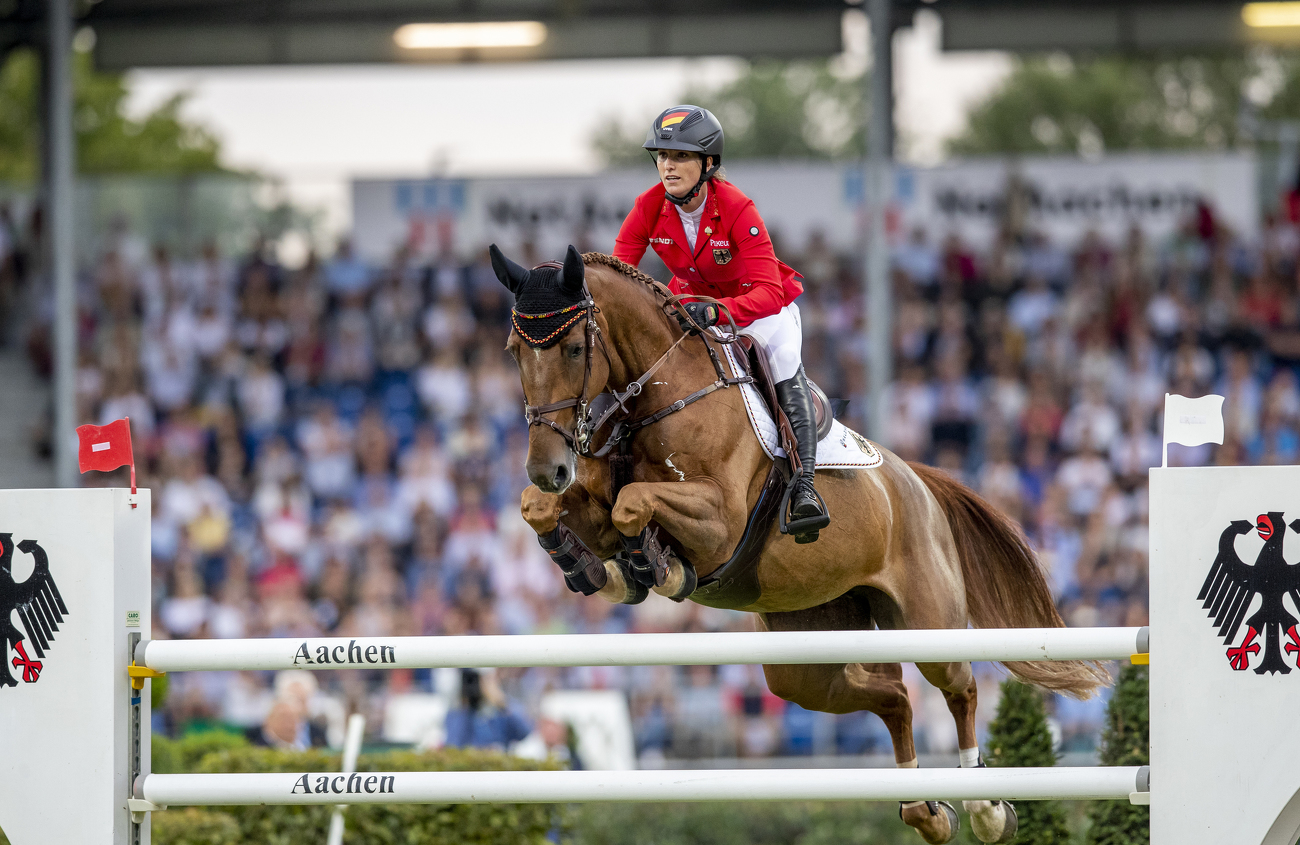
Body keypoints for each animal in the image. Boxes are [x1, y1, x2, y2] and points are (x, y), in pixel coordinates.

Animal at [491, 245, 1102, 842]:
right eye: (514, 352)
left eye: (574, 349)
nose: (548, 467)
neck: (660, 397)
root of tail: (918, 480)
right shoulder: (590, 494)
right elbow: (543, 507)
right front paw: (597, 568)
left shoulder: (720, 522)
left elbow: (633, 503)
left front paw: (655, 566)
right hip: (806, 658)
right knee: (893, 696)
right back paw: (923, 809)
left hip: (928, 622)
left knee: (960, 689)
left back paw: (985, 807)